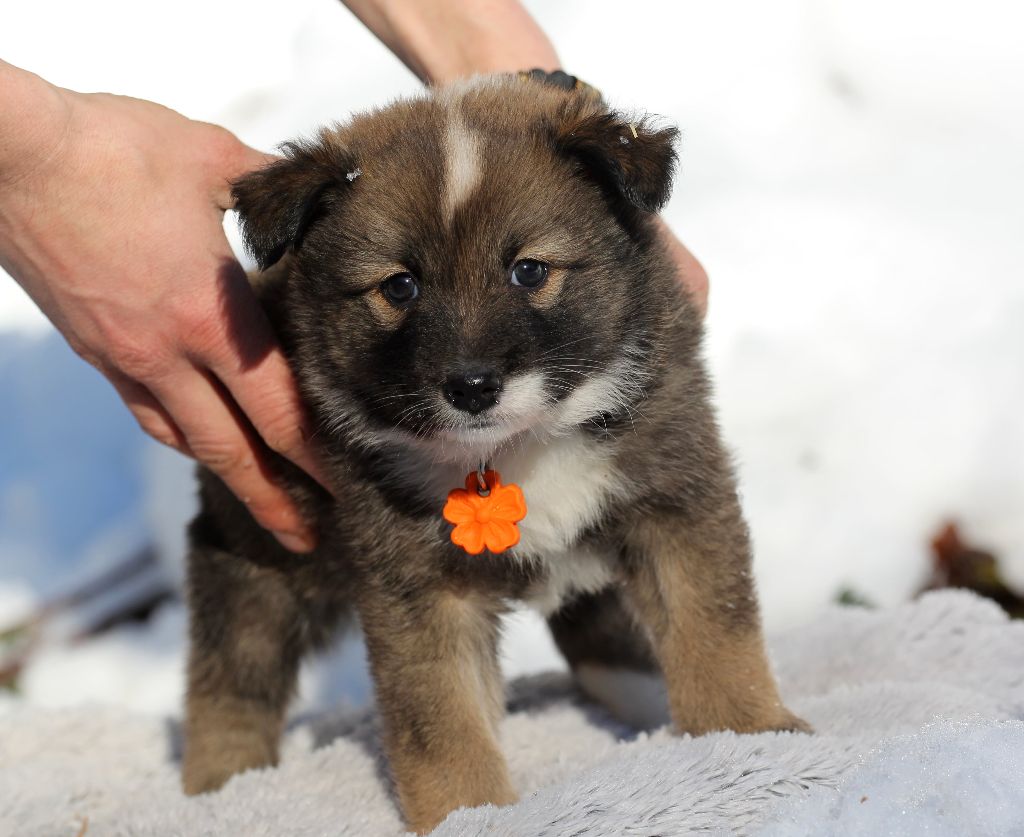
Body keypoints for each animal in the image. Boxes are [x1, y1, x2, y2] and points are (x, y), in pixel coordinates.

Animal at [184, 76, 806, 827]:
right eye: (400, 285)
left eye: (529, 271)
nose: (472, 386)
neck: (518, 445)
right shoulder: (418, 583)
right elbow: (443, 719)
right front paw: (466, 811)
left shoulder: (675, 496)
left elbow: (713, 630)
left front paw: (748, 735)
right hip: (253, 549)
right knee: (230, 679)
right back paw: (221, 786)